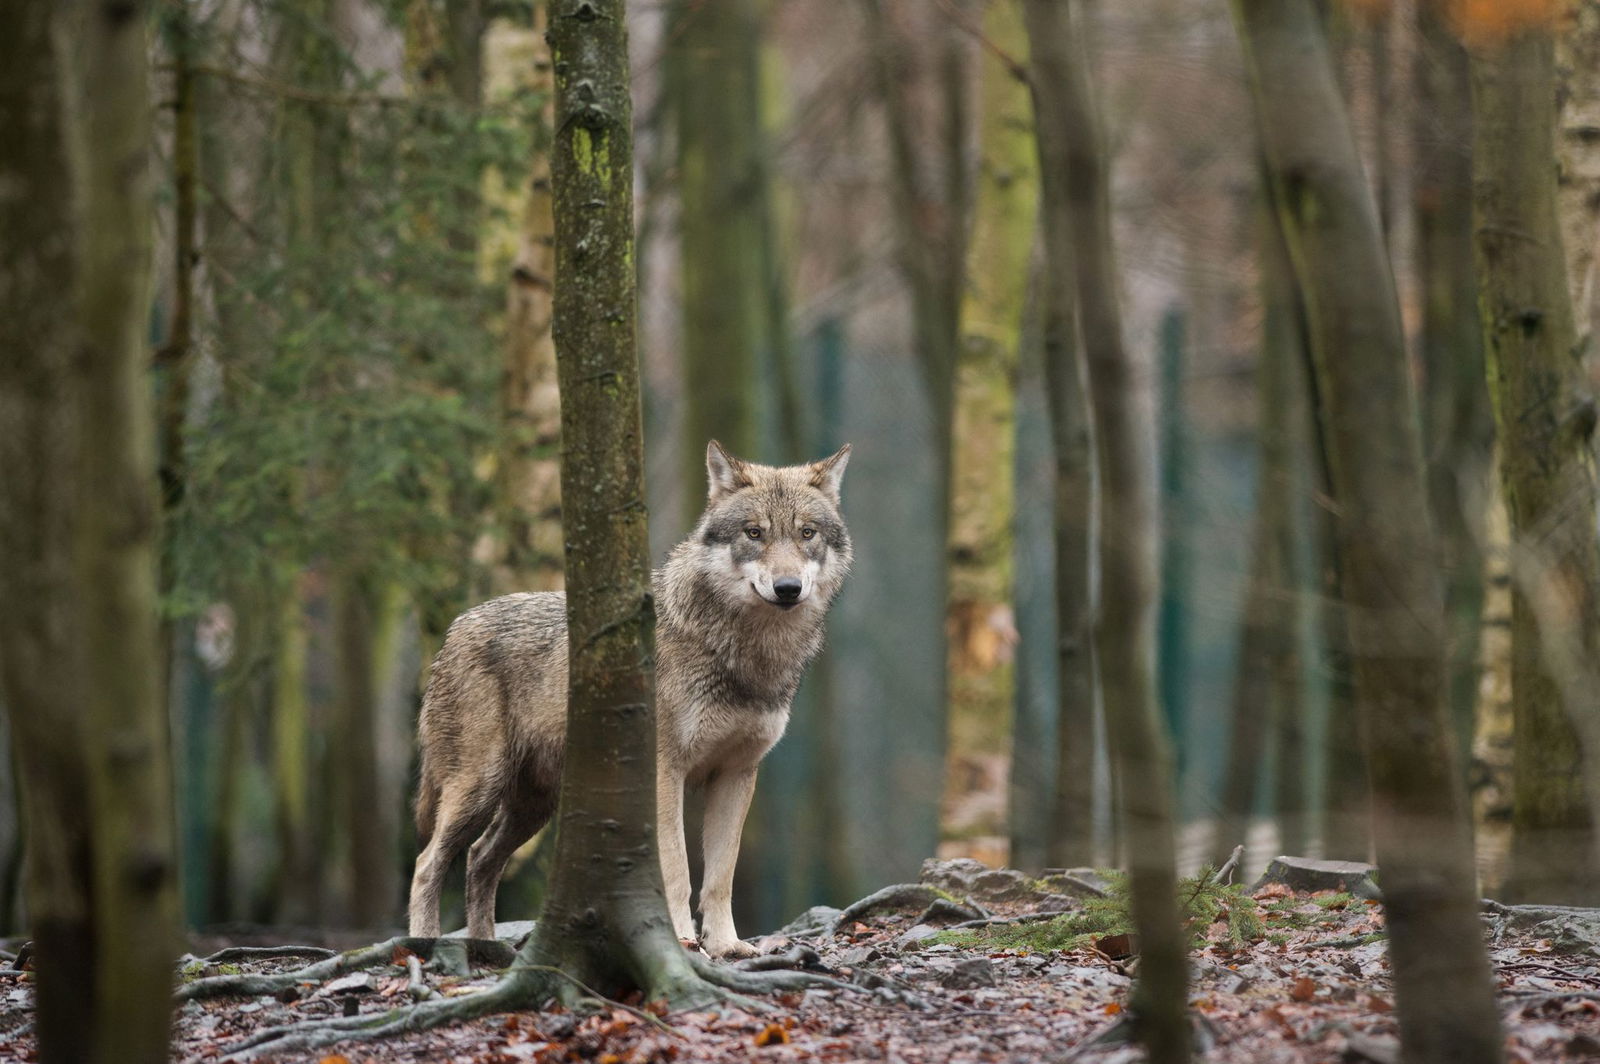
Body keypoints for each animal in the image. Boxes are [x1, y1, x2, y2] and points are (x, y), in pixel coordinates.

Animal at [407, 440, 852, 958]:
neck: (745, 654)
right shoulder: (665, 771)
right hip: (479, 788)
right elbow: (677, 869)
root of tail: (455, 628)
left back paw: (486, 949)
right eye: (754, 533)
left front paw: (726, 946)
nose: (787, 588)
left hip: (533, 806)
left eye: (807, 533)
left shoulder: (737, 774)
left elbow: (721, 876)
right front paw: (681, 940)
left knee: (480, 859)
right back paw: (424, 945)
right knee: (427, 863)